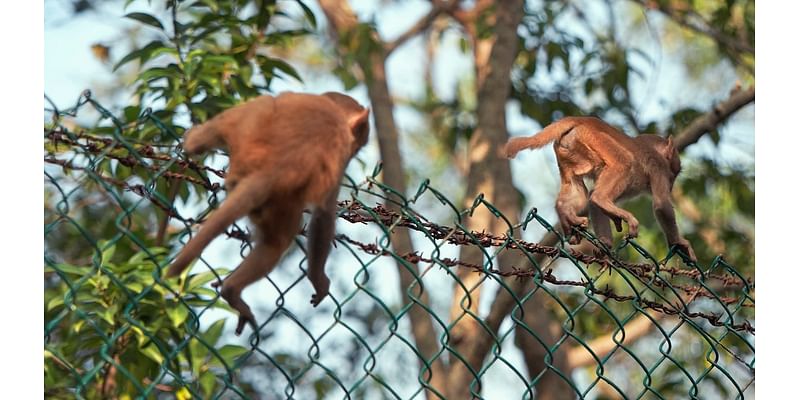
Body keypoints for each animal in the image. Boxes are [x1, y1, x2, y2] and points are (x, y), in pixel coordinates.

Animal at [168, 91, 372, 334]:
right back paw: (232, 290)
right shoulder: (339, 156)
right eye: (357, 146)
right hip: (280, 197)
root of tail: (272, 170)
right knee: (278, 243)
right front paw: (318, 280)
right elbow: (323, 215)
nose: (356, 150)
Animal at [504, 115, 696, 262]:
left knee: (579, 189)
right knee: (623, 162)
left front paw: (605, 244)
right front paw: (679, 243)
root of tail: (581, 119)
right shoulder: (659, 168)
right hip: (595, 138)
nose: (671, 186)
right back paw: (601, 199)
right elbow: (662, 205)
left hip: (567, 149)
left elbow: (592, 203)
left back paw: (565, 211)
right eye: (674, 174)